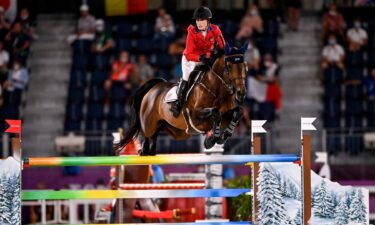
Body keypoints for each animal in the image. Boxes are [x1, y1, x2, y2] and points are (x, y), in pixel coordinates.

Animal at [121, 41, 250, 155]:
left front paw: (224, 135)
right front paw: (210, 140)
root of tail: (154, 87)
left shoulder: (226, 115)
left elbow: (238, 112)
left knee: (152, 142)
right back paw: (142, 150)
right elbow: (216, 113)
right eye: (229, 66)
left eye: (245, 66)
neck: (216, 89)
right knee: (147, 138)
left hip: (173, 130)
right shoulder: (195, 116)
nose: (241, 93)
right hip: (149, 125)